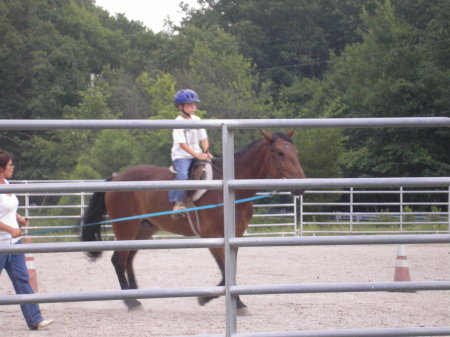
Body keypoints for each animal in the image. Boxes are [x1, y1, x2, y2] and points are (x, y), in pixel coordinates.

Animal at [81, 130, 306, 314]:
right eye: (280, 153)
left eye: (295, 152)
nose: (301, 185)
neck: (228, 190)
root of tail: (116, 178)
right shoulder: (214, 237)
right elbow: (225, 272)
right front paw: (215, 300)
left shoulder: (235, 237)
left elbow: (231, 272)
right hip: (126, 228)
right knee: (118, 261)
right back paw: (131, 303)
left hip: (143, 230)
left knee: (128, 260)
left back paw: (136, 297)